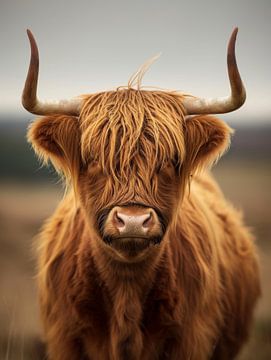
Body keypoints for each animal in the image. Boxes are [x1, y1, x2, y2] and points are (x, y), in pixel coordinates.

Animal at [22, 28, 262, 360]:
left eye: (171, 160)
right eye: (93, 159)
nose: (133, 221)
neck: (127, 290)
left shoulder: (190, 339)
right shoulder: (65, 340)